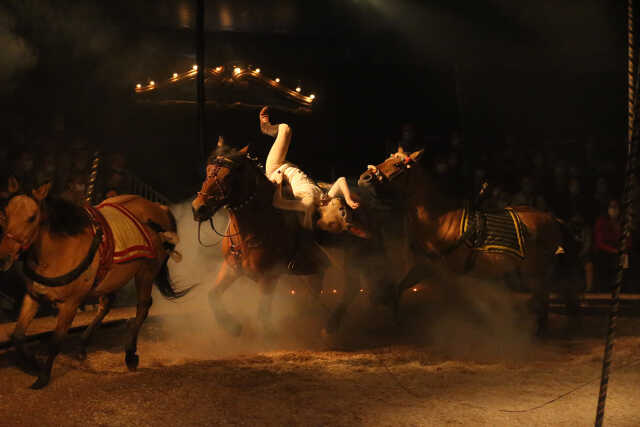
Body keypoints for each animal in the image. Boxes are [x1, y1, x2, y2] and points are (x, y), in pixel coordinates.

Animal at [0, 183, 190, 388]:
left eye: (32, 217)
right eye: (5, 214)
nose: (4, 258)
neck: (58, 249)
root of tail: (158, 207)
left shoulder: (70, 303)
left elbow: (55, 341)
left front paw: (43, 376)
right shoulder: (33, 295)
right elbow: (18, 335)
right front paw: (32, 363)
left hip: (146, 271)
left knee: (143, 306)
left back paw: (130, 354)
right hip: (113, 277)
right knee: (107, 303)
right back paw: (83, 345)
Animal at [190, 145, 396, 340]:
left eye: (228, 175)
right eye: (208, 171)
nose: (198, 208)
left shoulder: (269, 277)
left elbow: (262, 313)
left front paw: (269, 335)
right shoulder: (231, 268)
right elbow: (212, 295)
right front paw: (232, 327)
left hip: (353, 259)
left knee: (352, 286)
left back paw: (329, 326)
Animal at [358, 150, 576, 334]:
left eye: (397, 165)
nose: (364, 178)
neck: (439, 220)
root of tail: (553, 219)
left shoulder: (448, 274)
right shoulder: (425, 266)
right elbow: (399, 289)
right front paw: (395, 320)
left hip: (535, 272)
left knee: (543, 298)